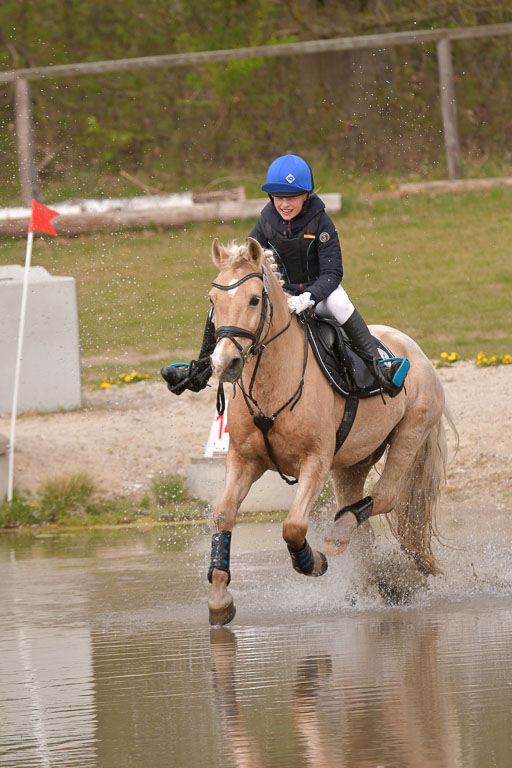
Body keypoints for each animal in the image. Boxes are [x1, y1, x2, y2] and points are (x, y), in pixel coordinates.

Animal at [206, 237, 450, 628]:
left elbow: (293, 526)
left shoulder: (315, 463)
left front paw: (312, 561)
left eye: (255, 300)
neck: (273, 378)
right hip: (352, 462)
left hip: (410, 432)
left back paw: (337, 540)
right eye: (214, 302)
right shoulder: (244, 460)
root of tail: (417, 351)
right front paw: (219, 599)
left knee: (384, 496)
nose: (224, 363)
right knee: (358, 515)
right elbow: (223, 514)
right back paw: (378, 580)